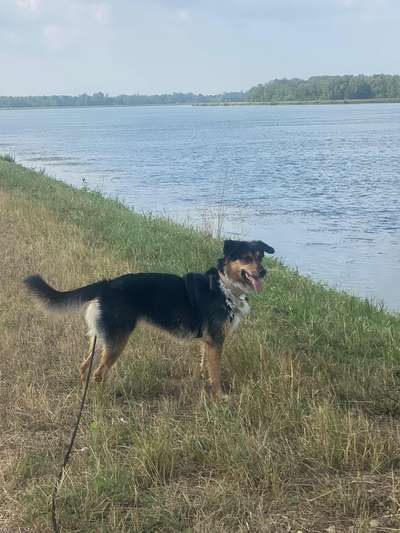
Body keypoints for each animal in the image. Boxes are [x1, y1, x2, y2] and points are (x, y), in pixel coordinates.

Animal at [24, 239, 276, 396]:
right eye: (245, 257)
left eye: (260, 257)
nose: (263, 272)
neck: (224, 287)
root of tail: (106, 285)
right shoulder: (216, 340)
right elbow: (216, 373)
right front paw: (220, 396)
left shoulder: (209, 342)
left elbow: (205, 365)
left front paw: (204, 382)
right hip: (117, 341)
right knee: (98, 374)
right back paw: (103, 399)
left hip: (102, 337)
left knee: (84, 366)